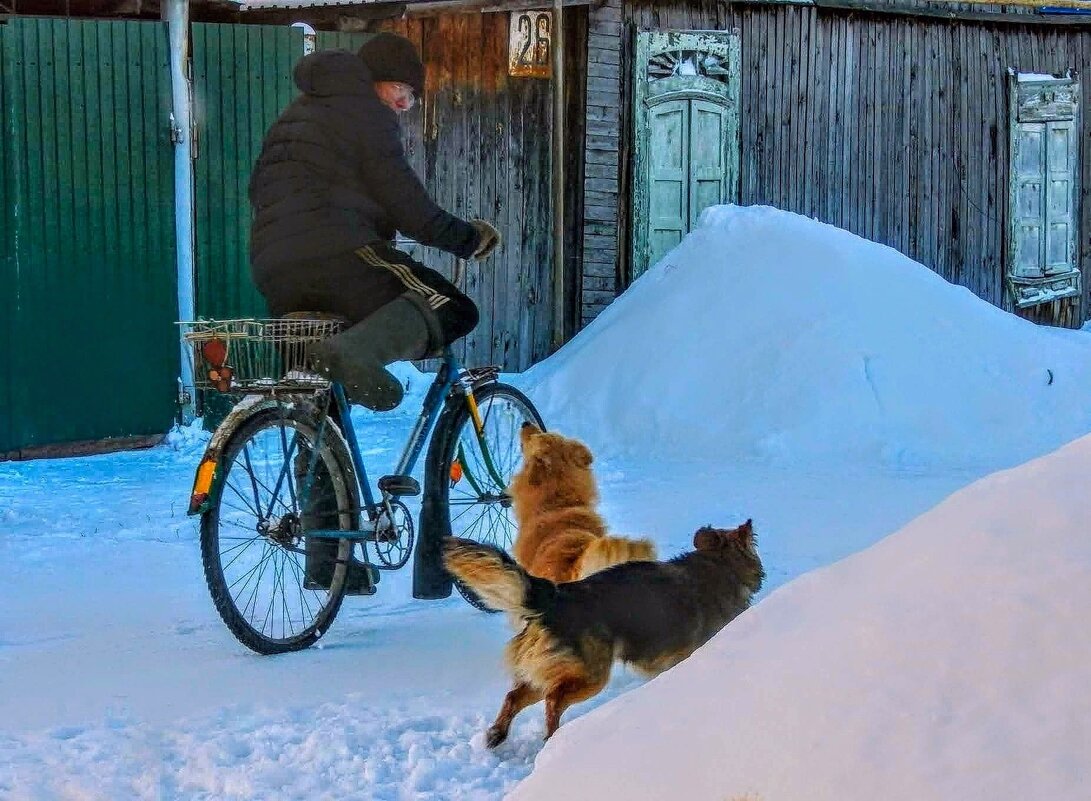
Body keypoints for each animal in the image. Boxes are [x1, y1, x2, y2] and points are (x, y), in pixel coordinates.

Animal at [438, 521, 763, 746]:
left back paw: (497, 734)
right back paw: (552, 739)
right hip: (591, 674)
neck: (719, 565)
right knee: (553, 699)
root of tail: (554, 597)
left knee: (514, 696)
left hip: (547, 669)